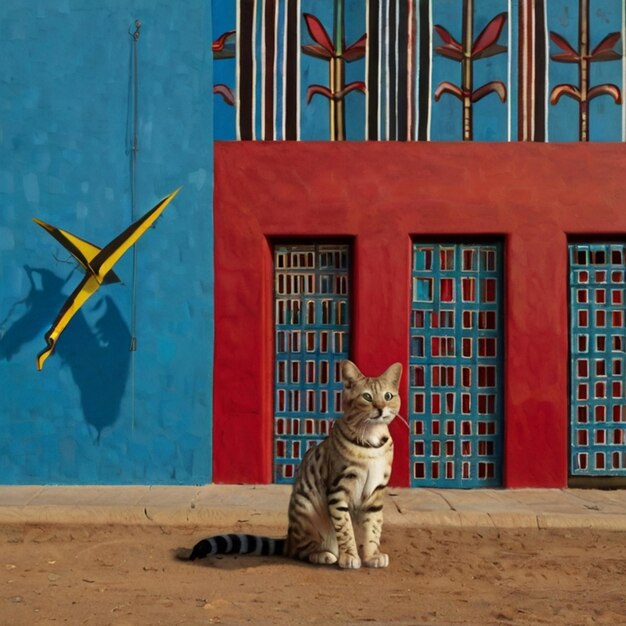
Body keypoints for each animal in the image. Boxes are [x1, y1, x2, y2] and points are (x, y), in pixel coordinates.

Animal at [186, 358, 400, 568]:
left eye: (388, 396)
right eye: (367, 397)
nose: (380, 408)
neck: (371, 441)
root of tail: (289, 539)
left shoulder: (375, 492)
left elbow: (373, 528)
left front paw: (372, 556)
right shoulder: (338, 490)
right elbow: (345, 529)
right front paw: (349, 556)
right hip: (308, 510)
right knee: (300, 551)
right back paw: (323, 555)